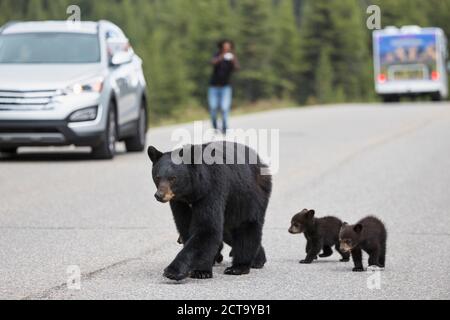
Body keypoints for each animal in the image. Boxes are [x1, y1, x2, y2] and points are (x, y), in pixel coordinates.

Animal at [149, 142, 272, 280]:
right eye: (157, 177)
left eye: (173, 178)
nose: (159, 195)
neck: (191, 193)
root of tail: (259, 159)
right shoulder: (179, 202)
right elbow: (186, 228)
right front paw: (201, 269)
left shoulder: (211, 190)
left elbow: (207, 228)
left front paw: (175, 271)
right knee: (228, 232)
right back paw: (257, 258)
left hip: (249, 194)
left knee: (247, 226)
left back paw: (239, 266)